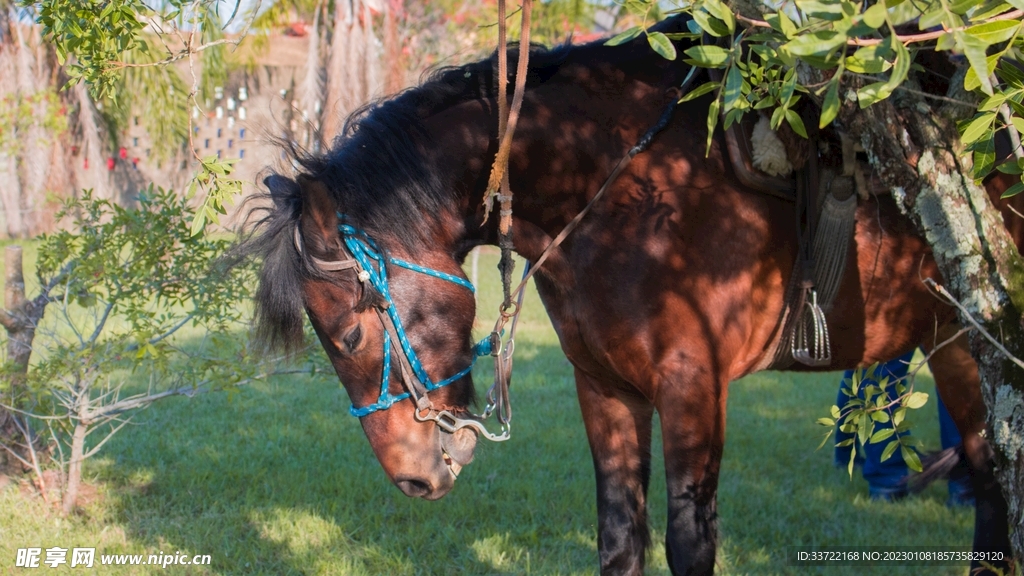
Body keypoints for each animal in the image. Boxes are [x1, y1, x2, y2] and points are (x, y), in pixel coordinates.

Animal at [241, 16, 1022, 575]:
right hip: (955, 341)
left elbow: (690, 542)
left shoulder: (692, 385)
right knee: (989, 478)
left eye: (348, 336)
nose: (411, 479)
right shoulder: (605, 388)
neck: (617, 182)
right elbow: (620, 536)